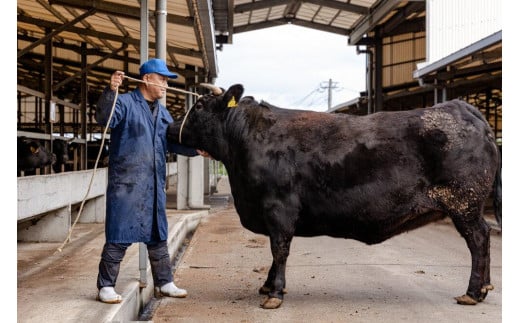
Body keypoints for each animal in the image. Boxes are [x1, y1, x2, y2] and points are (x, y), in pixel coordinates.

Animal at [167, 84, 500, 312]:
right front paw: (267, 286)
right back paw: (483, 287)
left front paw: (274, 294)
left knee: (478, 239)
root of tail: (463, 107)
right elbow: (275, 253)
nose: (170, 127)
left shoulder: (278, 208)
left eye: (199, 106)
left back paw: (473, 292)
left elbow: (279, 250)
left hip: (464, 203)